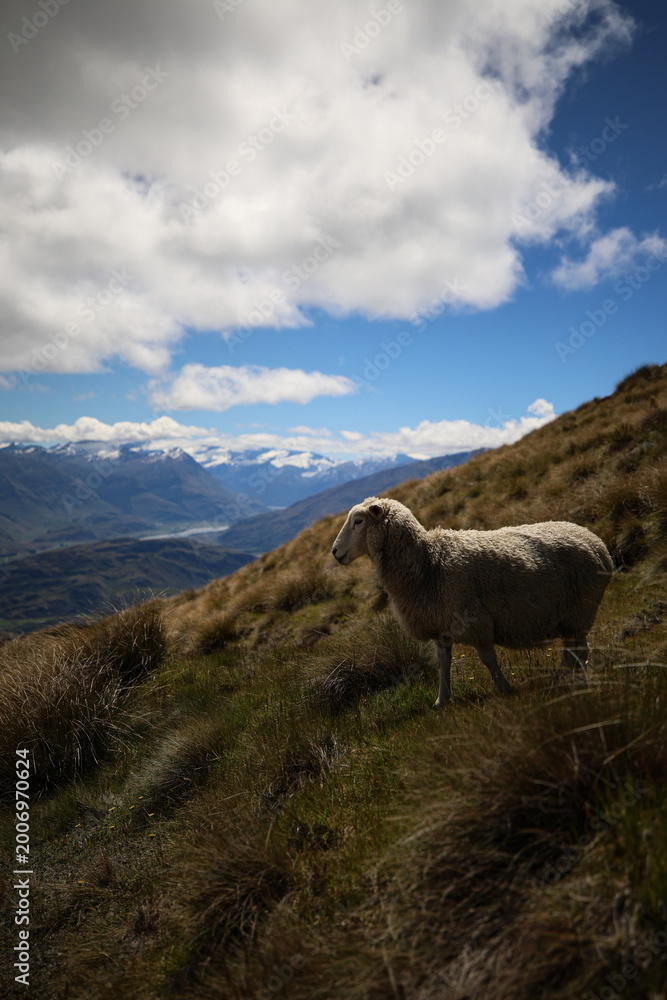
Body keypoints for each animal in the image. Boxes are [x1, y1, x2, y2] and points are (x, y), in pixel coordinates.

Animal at [331, 496, 613, 705]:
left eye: (358, 521)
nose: (334, 552)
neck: (429, 563)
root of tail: (599, 544)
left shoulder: (475, 620)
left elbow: (488, 659)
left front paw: (505, 688)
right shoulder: (441, 627)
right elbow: (443, 663)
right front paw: (442, 699)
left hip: (579, 609)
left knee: (577, 652)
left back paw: (567, 682)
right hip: (573, 615)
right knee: (575, 651)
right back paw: (567, 680)